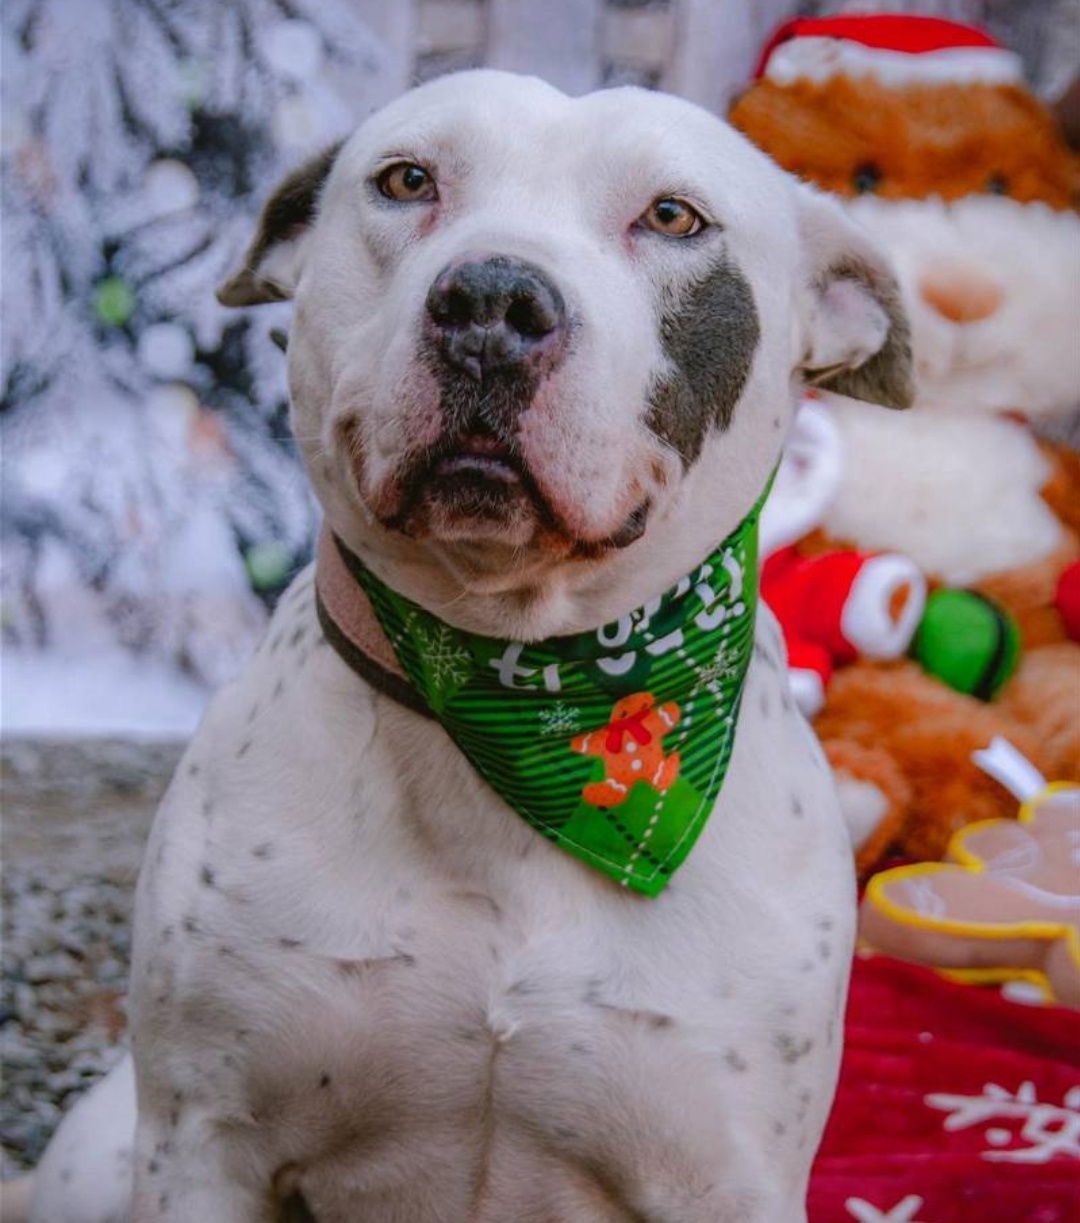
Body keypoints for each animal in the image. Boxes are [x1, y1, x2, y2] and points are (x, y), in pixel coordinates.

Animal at [27, 71, 909, 1218]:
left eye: (673, 216)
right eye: (406, 180)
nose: (494, 301)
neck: (523, 698)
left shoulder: (728, 1177)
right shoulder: (206, 1145)